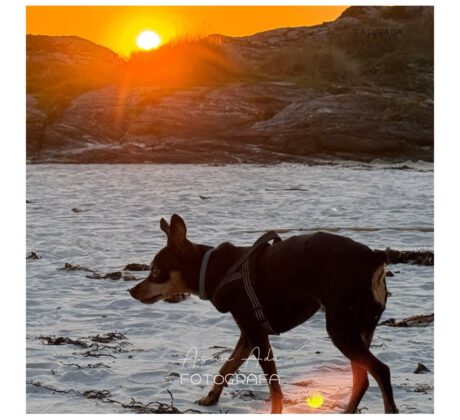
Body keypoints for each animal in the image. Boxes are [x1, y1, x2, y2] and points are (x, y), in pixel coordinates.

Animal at [129, 213, 398, 414]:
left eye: (155, 271)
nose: (132, 291)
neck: (215, 268)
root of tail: (373, 258)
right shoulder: (247, 336)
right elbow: (226, 368)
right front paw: (210, 398)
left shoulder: (257, 335)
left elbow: (273, 384)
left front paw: (275, 410)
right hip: (358, 329)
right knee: (362, 379)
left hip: (341, 331)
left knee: (381, 371)